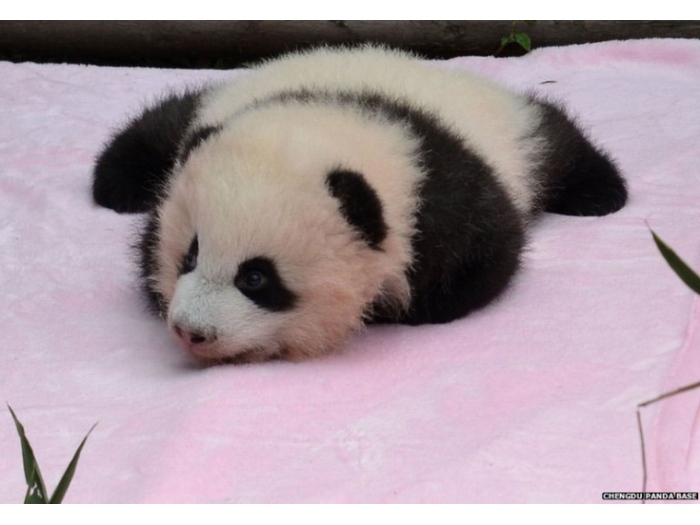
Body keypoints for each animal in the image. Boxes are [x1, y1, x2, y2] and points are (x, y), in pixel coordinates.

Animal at [92, 45, 627, 364]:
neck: (336, 113)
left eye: (256, 278)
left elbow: (488, 255)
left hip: (515, 132)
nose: (191, 331)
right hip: (209, 104)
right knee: (162, 123)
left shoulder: (444, 187)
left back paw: (602, 192)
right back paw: (113, 182)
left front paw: (395, 308)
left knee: (554, 139)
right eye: (190, 256)